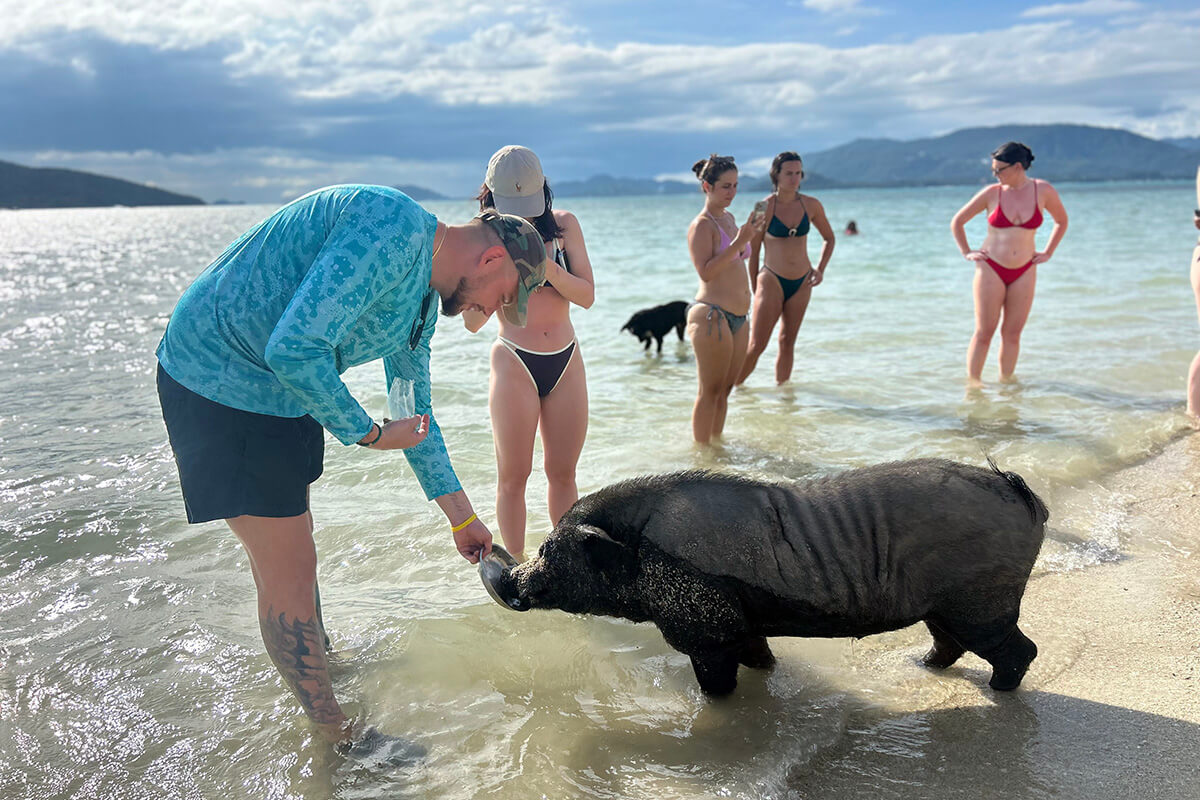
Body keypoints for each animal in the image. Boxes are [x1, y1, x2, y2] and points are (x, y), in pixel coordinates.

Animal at [490, 459, 1048, 696]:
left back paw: (999, 691)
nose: (508, 577)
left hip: (982, 603)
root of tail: (1021, 492)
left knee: (1020, 650)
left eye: (548, 549)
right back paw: (923, 666)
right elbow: (762, 658)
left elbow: (717, 687)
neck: (640, 549)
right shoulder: (743, 625)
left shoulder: (707, 633)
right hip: (944, 607)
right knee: (948, 643)